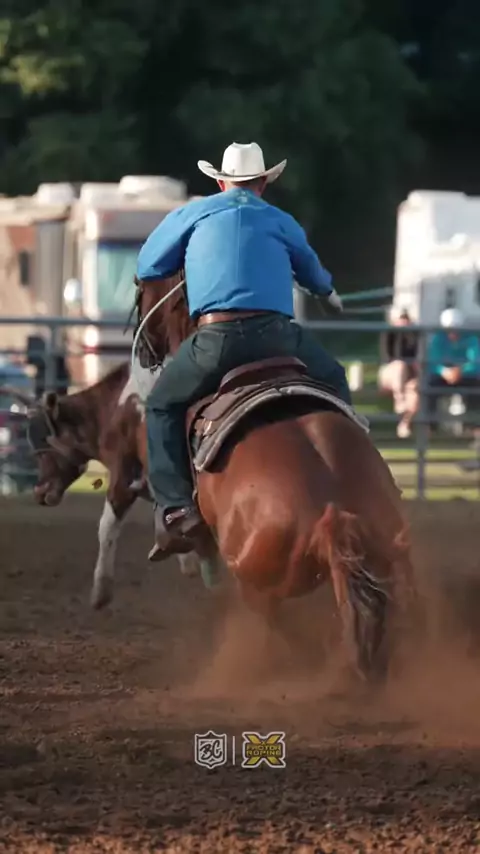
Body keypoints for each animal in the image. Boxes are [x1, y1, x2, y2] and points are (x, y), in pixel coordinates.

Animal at [133, 273, 416, 682]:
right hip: (392, 553)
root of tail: (332, 512)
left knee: (278, 627)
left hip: (258, 585)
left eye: (141, 287)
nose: (143, 351)